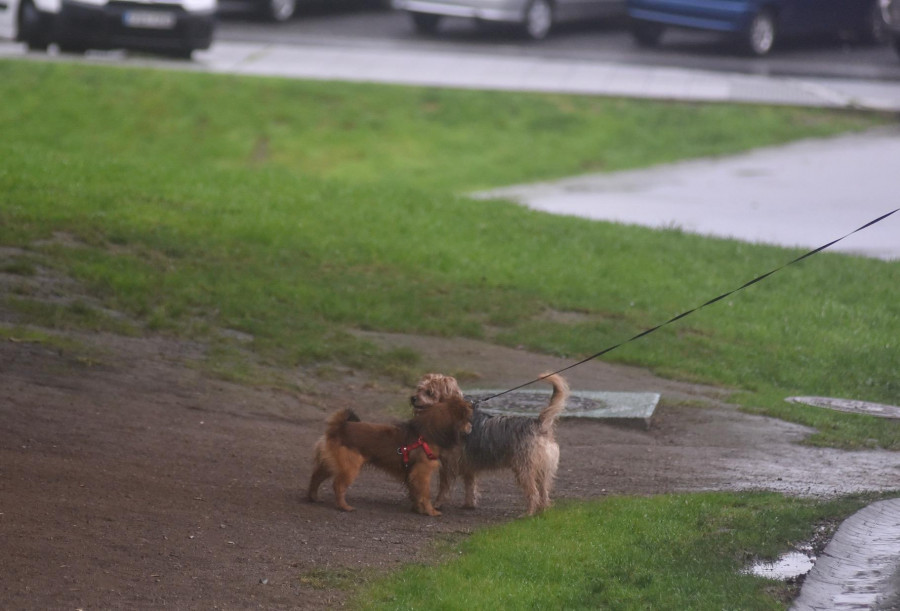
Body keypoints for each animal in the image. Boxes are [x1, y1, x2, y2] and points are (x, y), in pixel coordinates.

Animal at [306, 396, 472, 516]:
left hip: (331, 463)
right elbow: (425, 494)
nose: (471, 428)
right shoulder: (422, 473)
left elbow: (416, 492)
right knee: (338, 485)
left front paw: (418, 509)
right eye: (468, 419)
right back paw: (344, 506)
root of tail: (339, 427)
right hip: (350, 467)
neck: (426, 434)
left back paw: (313, 497)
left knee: (315, 477)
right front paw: (430, 511)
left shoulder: (413, 473)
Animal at [410, 372, 568, 516]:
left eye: (429, 392)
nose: (412, 398)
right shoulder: (469, 467)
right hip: (543, 469)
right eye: (419, 388)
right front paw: (469, 504)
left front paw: (437, 504)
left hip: (524, 469)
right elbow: (470, 486)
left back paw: (529, 513)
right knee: (544, 491)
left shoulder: (448, 466)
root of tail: (538, 423)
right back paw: (543, 510)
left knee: (533, 492)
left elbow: (444, 488)